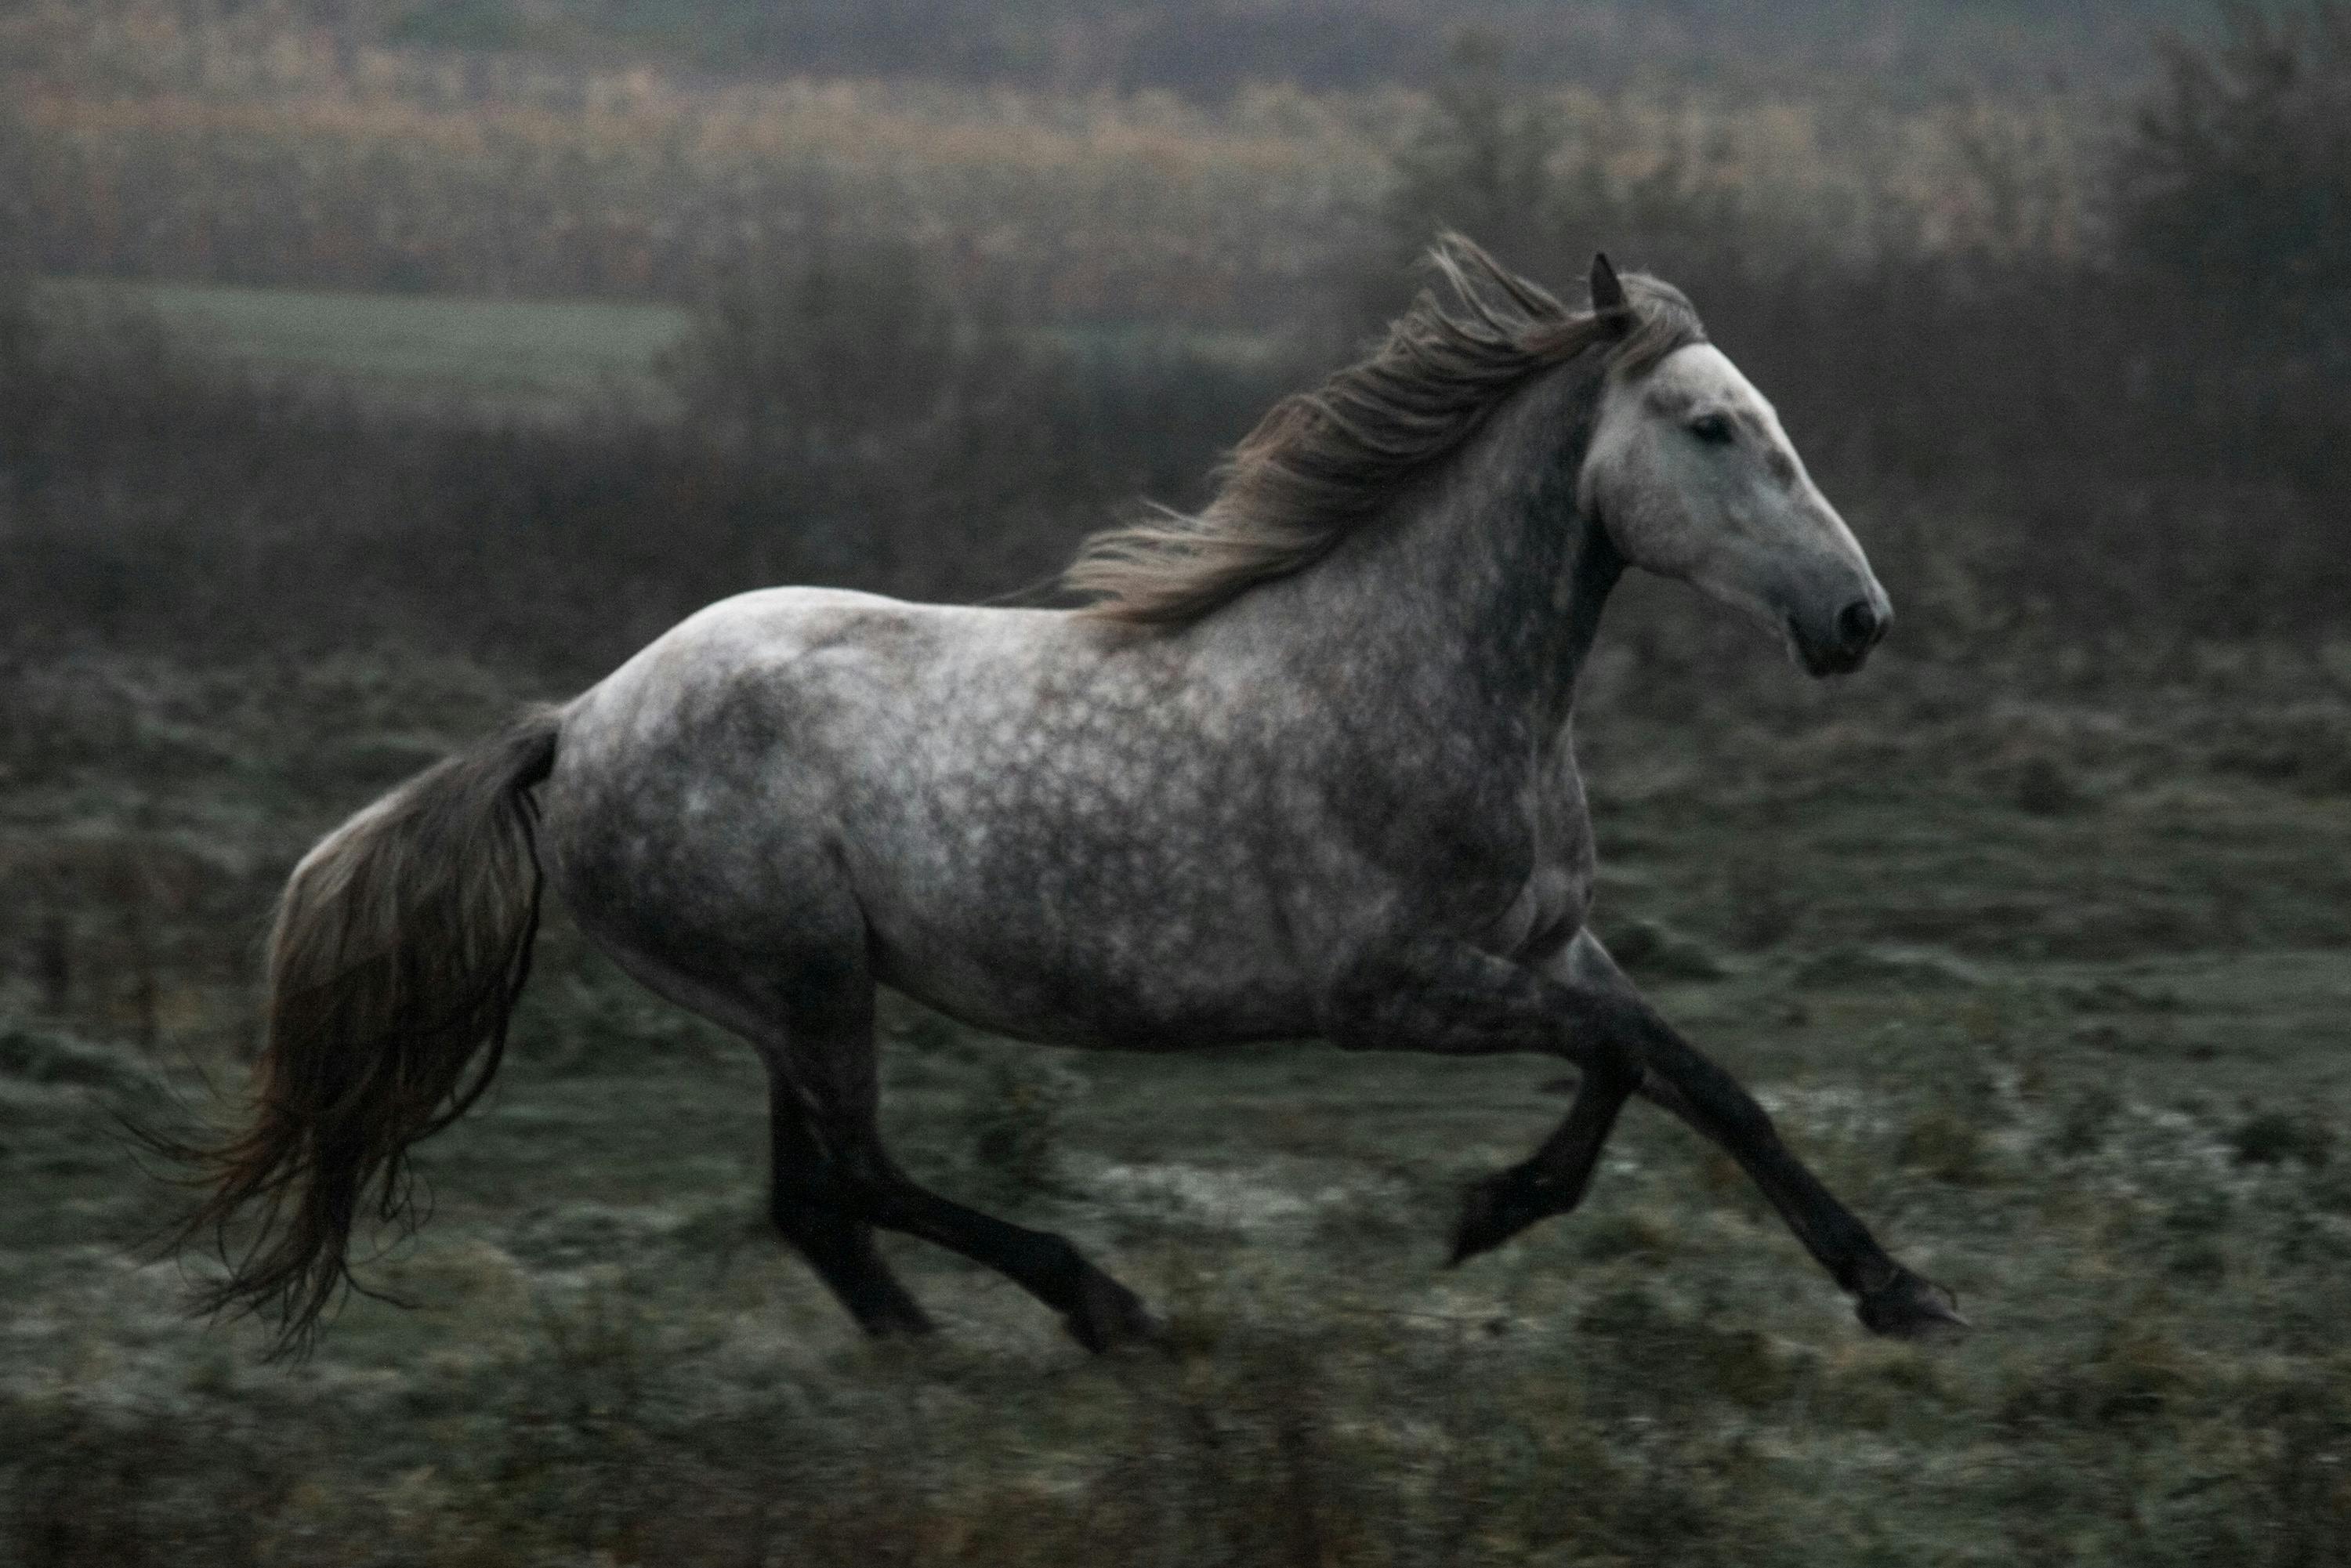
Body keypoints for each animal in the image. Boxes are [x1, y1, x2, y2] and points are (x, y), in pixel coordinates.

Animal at [175, 238, 1963, 1356]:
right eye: (1712, 424)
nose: (1857, 618)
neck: (1416, 673)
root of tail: (578, 721)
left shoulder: (1545, 945)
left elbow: (1695, 1077)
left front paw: (1897, 1291)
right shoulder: (1390, 986)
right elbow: (1630, 1059)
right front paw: (1491, 1211)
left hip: (788, 993)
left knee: (816, 1201)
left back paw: (931, 1355)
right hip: (806, 981)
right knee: (862, 1176)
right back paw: (1103, 1309)